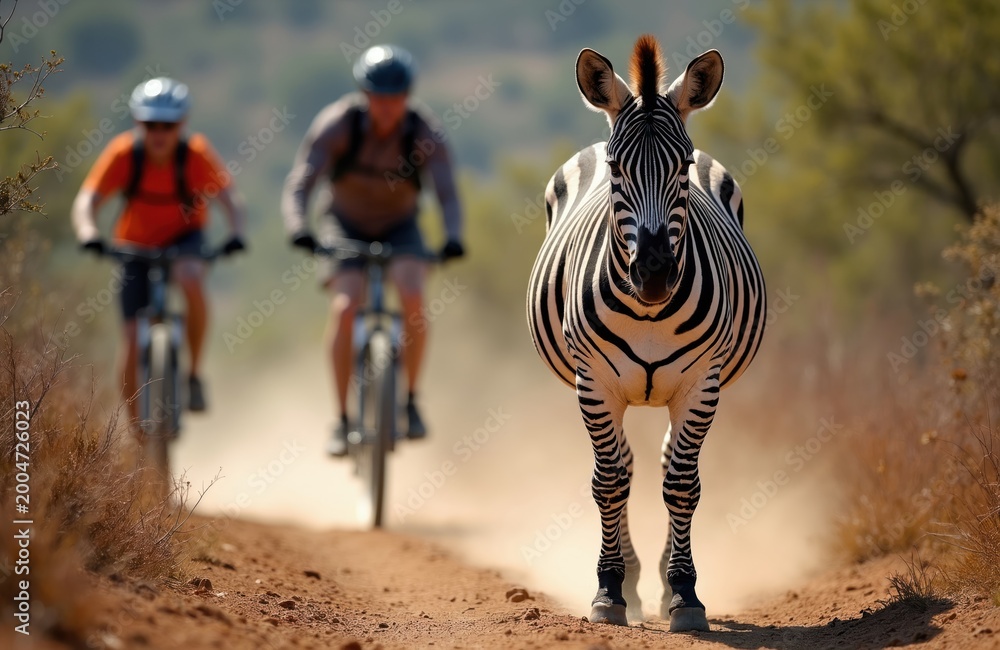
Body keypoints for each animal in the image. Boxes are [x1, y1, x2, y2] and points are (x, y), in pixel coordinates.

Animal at [526, 35, 765, 631]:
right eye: (617, 168)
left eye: (683, 166)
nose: (655, 274)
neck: (651, 314)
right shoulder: (594, 382)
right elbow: (609, 481)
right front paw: (609, 591)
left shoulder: (702, 383)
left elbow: (681, 484)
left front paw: (684, 593)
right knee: (625, 467)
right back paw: (631, 583)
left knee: (661, 465)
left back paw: (656, 582)